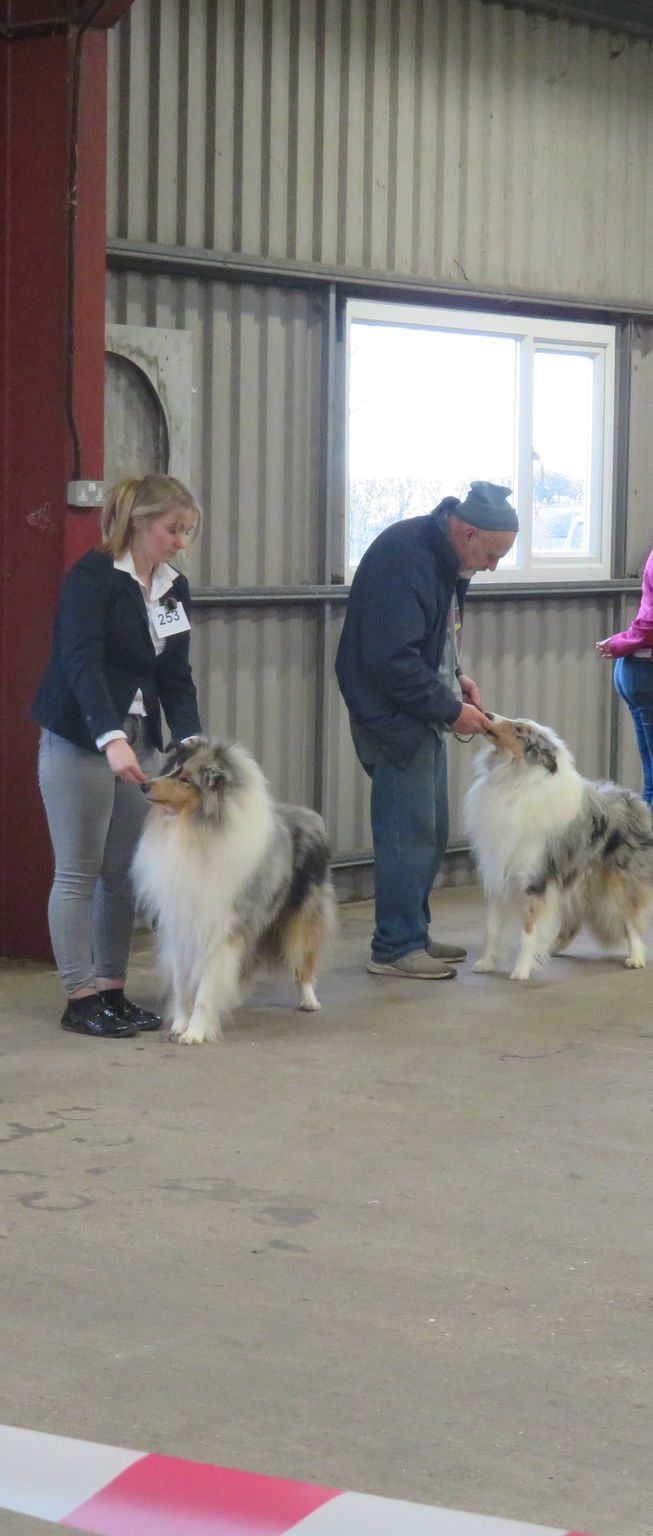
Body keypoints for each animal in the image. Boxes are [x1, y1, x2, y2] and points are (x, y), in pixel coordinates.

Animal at [132, 738, 336, 1043]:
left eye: (185, 779)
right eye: (172, 770)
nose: (144, 785)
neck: (194, 830)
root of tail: (310, 814)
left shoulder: (220, 928)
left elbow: (205, 987)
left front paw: (195, 1032)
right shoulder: (180, 923)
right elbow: (182, 985)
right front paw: (179, 1025)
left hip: (301, 917)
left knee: (304, 959)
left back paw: (309, 999)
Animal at [464, 714, 653, 981]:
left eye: (519, 729)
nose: (488, 715)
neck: (514, 778)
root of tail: (634, 799)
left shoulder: (535, 879)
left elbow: (528, 930)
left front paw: (521, 970)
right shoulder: (498, 874)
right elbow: (491, 928)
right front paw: (486, 962)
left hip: (619, 879)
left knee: (630, 917)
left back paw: (635, 957)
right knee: (574, 920)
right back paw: (551, 948)